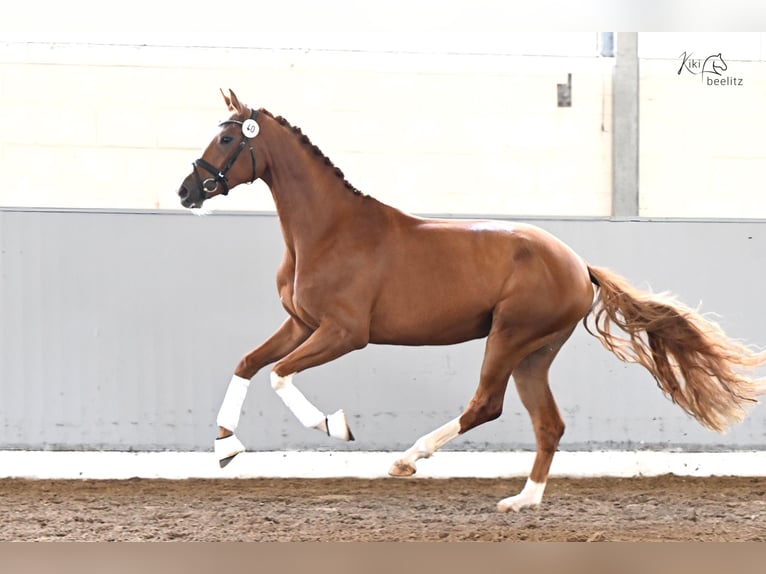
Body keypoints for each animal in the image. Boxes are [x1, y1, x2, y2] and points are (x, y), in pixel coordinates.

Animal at [176, 90, 766, 512]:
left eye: (227, 139)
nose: (187, 191)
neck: (327, 232)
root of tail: (579, 267)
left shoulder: (344, 333)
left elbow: (279, 376)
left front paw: (333, 425)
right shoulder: (301, 323)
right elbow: (249, 363)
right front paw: (225, 447)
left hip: (508, 337)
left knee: (486, 404)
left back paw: (409, 460)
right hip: (534, 354)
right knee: (548, 424)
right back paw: (523, 501)